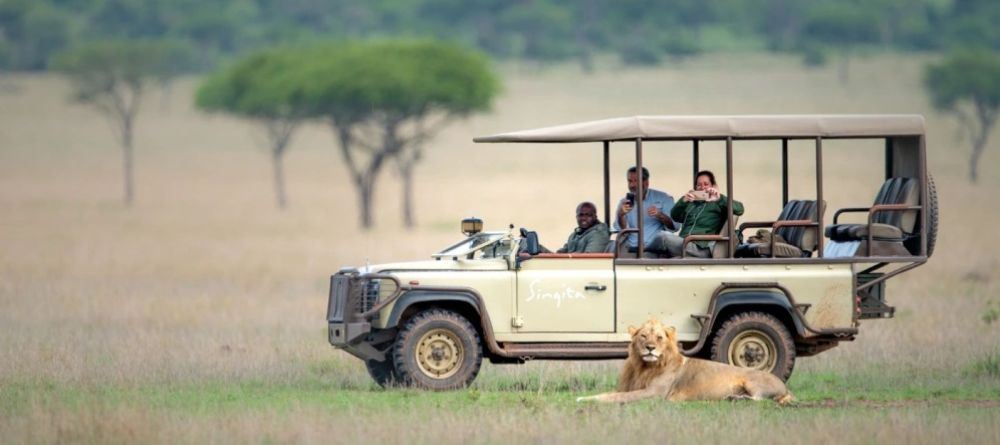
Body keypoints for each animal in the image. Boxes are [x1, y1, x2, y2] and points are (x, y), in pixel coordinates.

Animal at [576, 318, 792, 404]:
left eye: (659, 338)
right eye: (644, 336)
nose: (650, 348)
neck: (644, 367)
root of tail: (785, 387)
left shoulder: (654, 394)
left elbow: (617, 398)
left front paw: (586, 400)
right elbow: (609, 393)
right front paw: (583, 398)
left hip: (753, 381)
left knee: (760, 399)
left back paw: (735, 399)